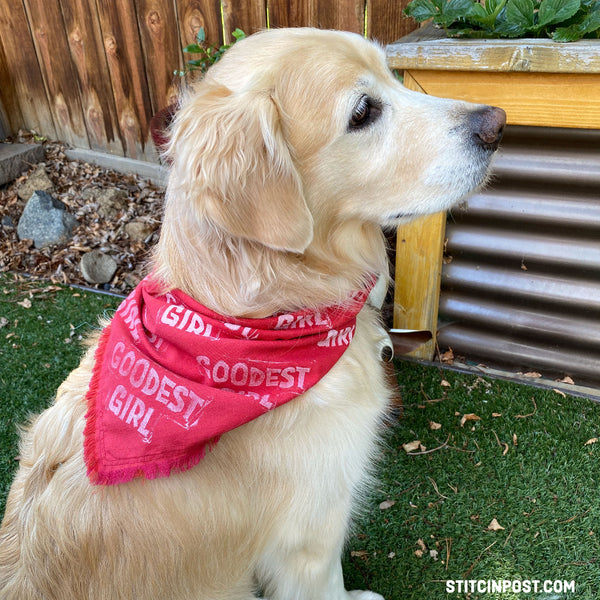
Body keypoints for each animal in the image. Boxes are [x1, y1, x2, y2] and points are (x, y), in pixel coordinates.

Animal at [0, 28, 506, 600]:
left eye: (391, 76)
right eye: (362, 111)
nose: (497, 122)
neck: (264, 315)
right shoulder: (313, 530)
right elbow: (328, 583)